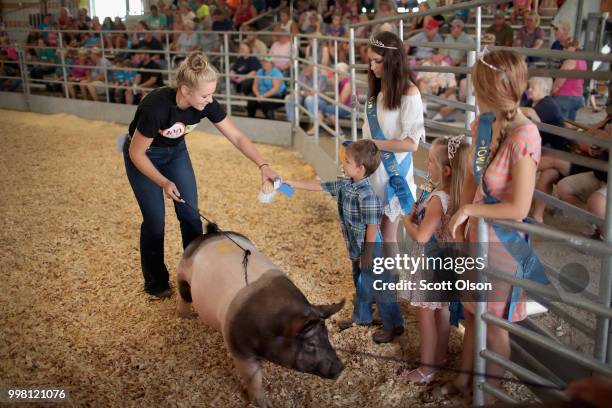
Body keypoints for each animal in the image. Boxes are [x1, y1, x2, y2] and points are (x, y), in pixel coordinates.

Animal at [176, 223, 344, 408]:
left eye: (326, 335)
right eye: (310, 345)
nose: (340, 367)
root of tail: (211, 234)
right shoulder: (239, 348)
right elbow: (254, 379)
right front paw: (265, 404)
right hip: (182, 274)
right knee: (184, 297)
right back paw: (184, 317)